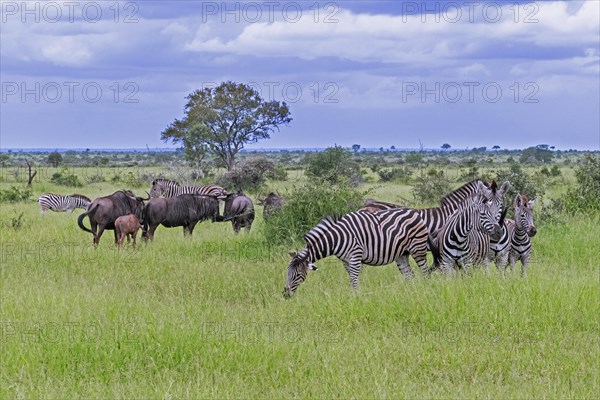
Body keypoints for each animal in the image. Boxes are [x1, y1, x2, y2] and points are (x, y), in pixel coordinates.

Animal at [284, 208, 428, 298]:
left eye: (297, 275)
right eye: (287, 273)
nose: (285, 295)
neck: (336, 239)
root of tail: (414, 211)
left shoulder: (355, 256)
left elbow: (353, 280)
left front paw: (356, 298)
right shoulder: (345, 261)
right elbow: (351, 279)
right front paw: (354, 297)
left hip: (418, 248)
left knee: (425, 271)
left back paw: (426, 290)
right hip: (402, 254)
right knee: (411, 276)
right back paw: (411, 294)